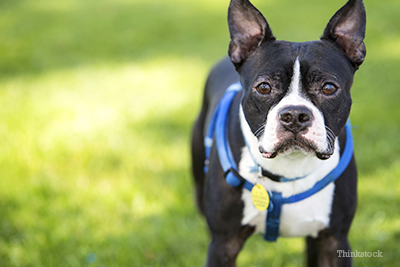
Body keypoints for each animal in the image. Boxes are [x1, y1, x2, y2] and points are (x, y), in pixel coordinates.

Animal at [191, 0, 366, 266]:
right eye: (264, 87)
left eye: (328, 88)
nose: (294, 115)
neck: (289, 168)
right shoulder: (223, 244)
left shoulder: (334, 240)